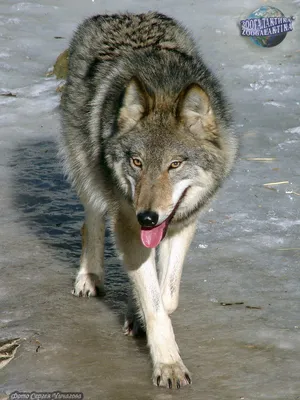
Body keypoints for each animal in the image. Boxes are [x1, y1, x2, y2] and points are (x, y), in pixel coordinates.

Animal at [59, 11, 238, 388]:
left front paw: (136, 312)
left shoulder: (182, 223)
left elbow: (166, 297)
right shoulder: (127, 224)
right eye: (137, 162)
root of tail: (121, 14)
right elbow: (156, 305)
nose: (148, 218)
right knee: (90, 222)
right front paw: (168, 364)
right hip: (87, 173)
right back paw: (89, 277)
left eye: (174, 164)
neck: (165, 86)